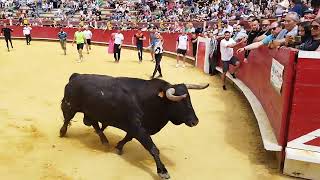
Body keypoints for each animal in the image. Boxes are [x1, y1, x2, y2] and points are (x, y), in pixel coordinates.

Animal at [59, 73, 210, 179]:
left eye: (189, 99)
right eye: (179, 102)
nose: (195, 121)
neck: (151, 100)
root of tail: (76, 76)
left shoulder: (135, 128)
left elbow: (128, 138)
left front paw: (118, 147)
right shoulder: (138, 128)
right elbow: (153, 148)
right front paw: (162, 171)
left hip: (91, 112)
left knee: (95, 125)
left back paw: (105, 141)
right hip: (70, 106)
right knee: (67, 119)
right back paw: (62, 132)